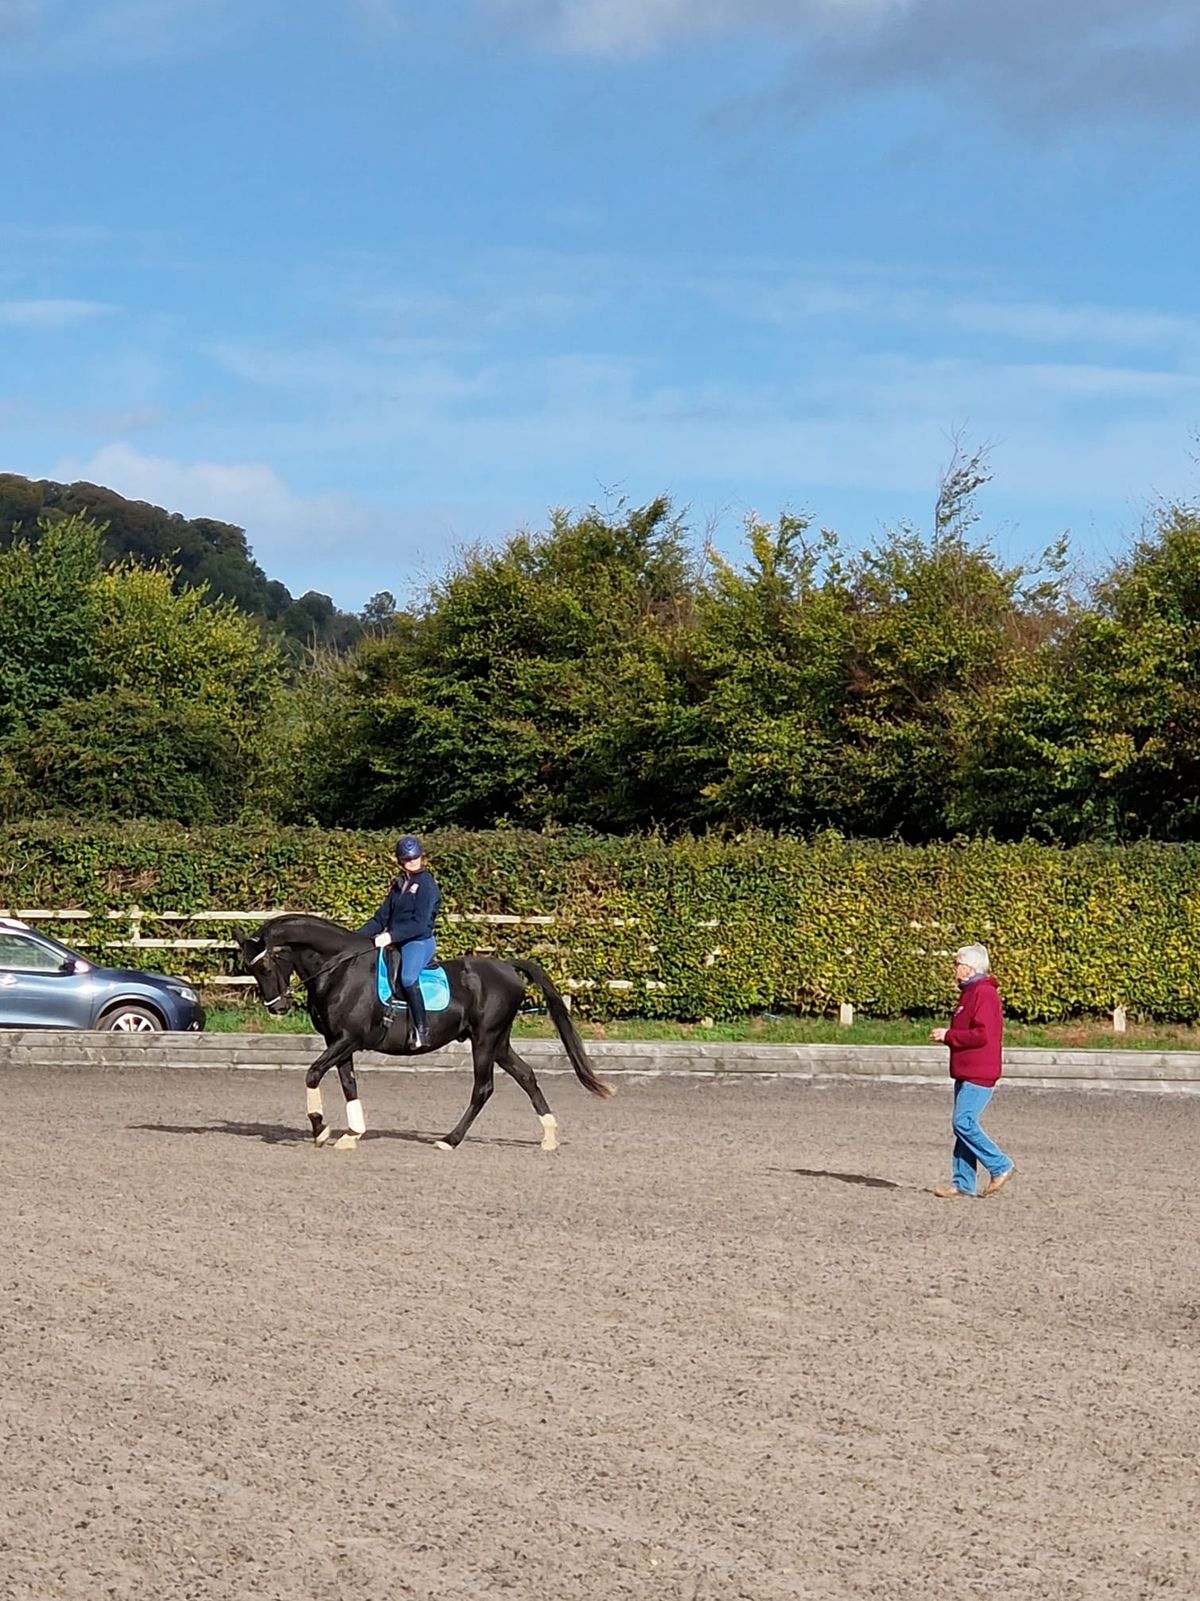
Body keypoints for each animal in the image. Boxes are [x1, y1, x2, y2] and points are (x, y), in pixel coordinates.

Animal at [236, 915, 611, 1152]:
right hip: (499, 1041)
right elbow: (348, 1084)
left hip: (485, 1040)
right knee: (527, 1076)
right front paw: (352, 1134)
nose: (277, 1007)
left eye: (266, 965)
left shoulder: (348, 1039)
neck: (341, 968)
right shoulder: (338, 1042)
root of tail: (507, 967)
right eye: (249, 969)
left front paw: (321, 1129)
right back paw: (549, 1137)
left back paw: (450, 1140)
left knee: (483, 1088)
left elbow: (312, 1074)